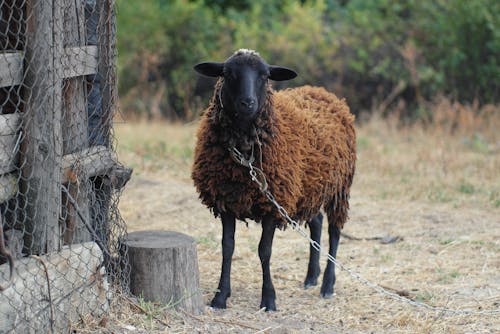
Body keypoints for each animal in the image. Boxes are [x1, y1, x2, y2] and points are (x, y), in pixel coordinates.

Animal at [191, 49, 356, 310]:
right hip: (308, 185)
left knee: (335, 231)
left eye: (265, 75)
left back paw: (328, 285)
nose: (247, 103)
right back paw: (311, 276)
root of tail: (325, 93)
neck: (244, 152)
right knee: (317, 222)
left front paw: (268, 298)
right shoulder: (225, 199)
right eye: (227, 73)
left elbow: (264, 251)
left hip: (339, 186)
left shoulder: (272, 203)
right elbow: (227, 247)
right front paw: (220, 296)